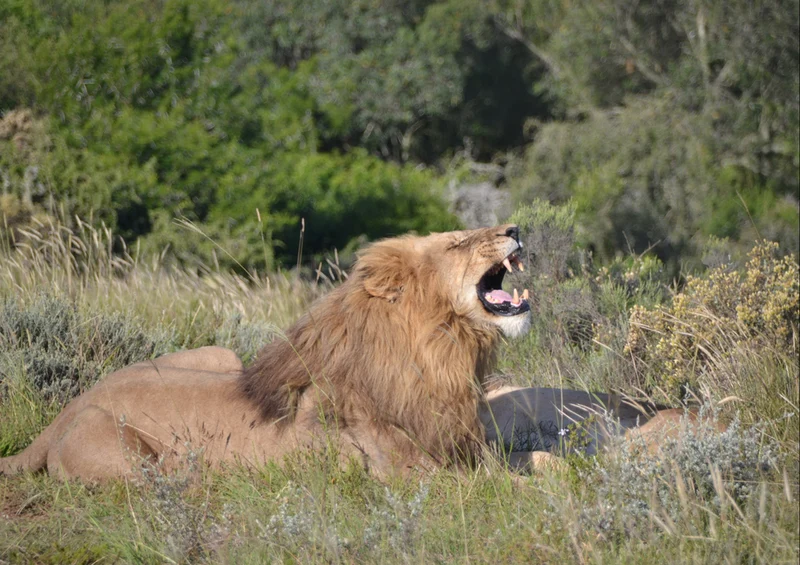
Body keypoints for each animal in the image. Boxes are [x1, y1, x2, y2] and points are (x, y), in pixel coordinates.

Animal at [0, 224, 534, 480]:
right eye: (457, 243)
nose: (515, 227)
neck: (443, 353)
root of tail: (69, 408)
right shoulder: (409, 474)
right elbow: (507, 488)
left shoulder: (468, 448)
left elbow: (536, 462)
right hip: (130, 458)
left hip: (220, 355)